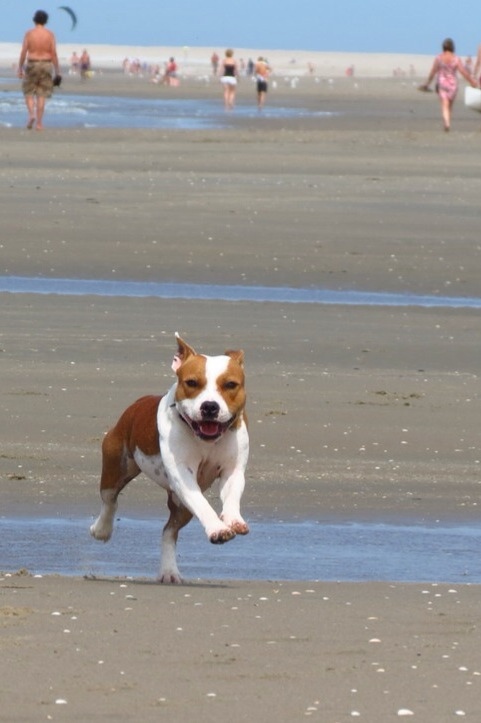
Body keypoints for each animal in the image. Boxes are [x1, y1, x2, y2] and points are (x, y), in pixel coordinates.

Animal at [90, 334, 249, 584]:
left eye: (230, 385)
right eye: (192, 383)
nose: (210, 406)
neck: (205, 439)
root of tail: (136, 404)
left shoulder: (233, 471)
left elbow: (232, 497)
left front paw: (233, 520)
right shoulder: (183, 477)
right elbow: (203, 505)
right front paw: (217, 529)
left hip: (180, 506)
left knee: (169, 531)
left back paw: (169, 571)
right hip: (116, 466)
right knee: (110, 500)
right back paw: (101, 530)